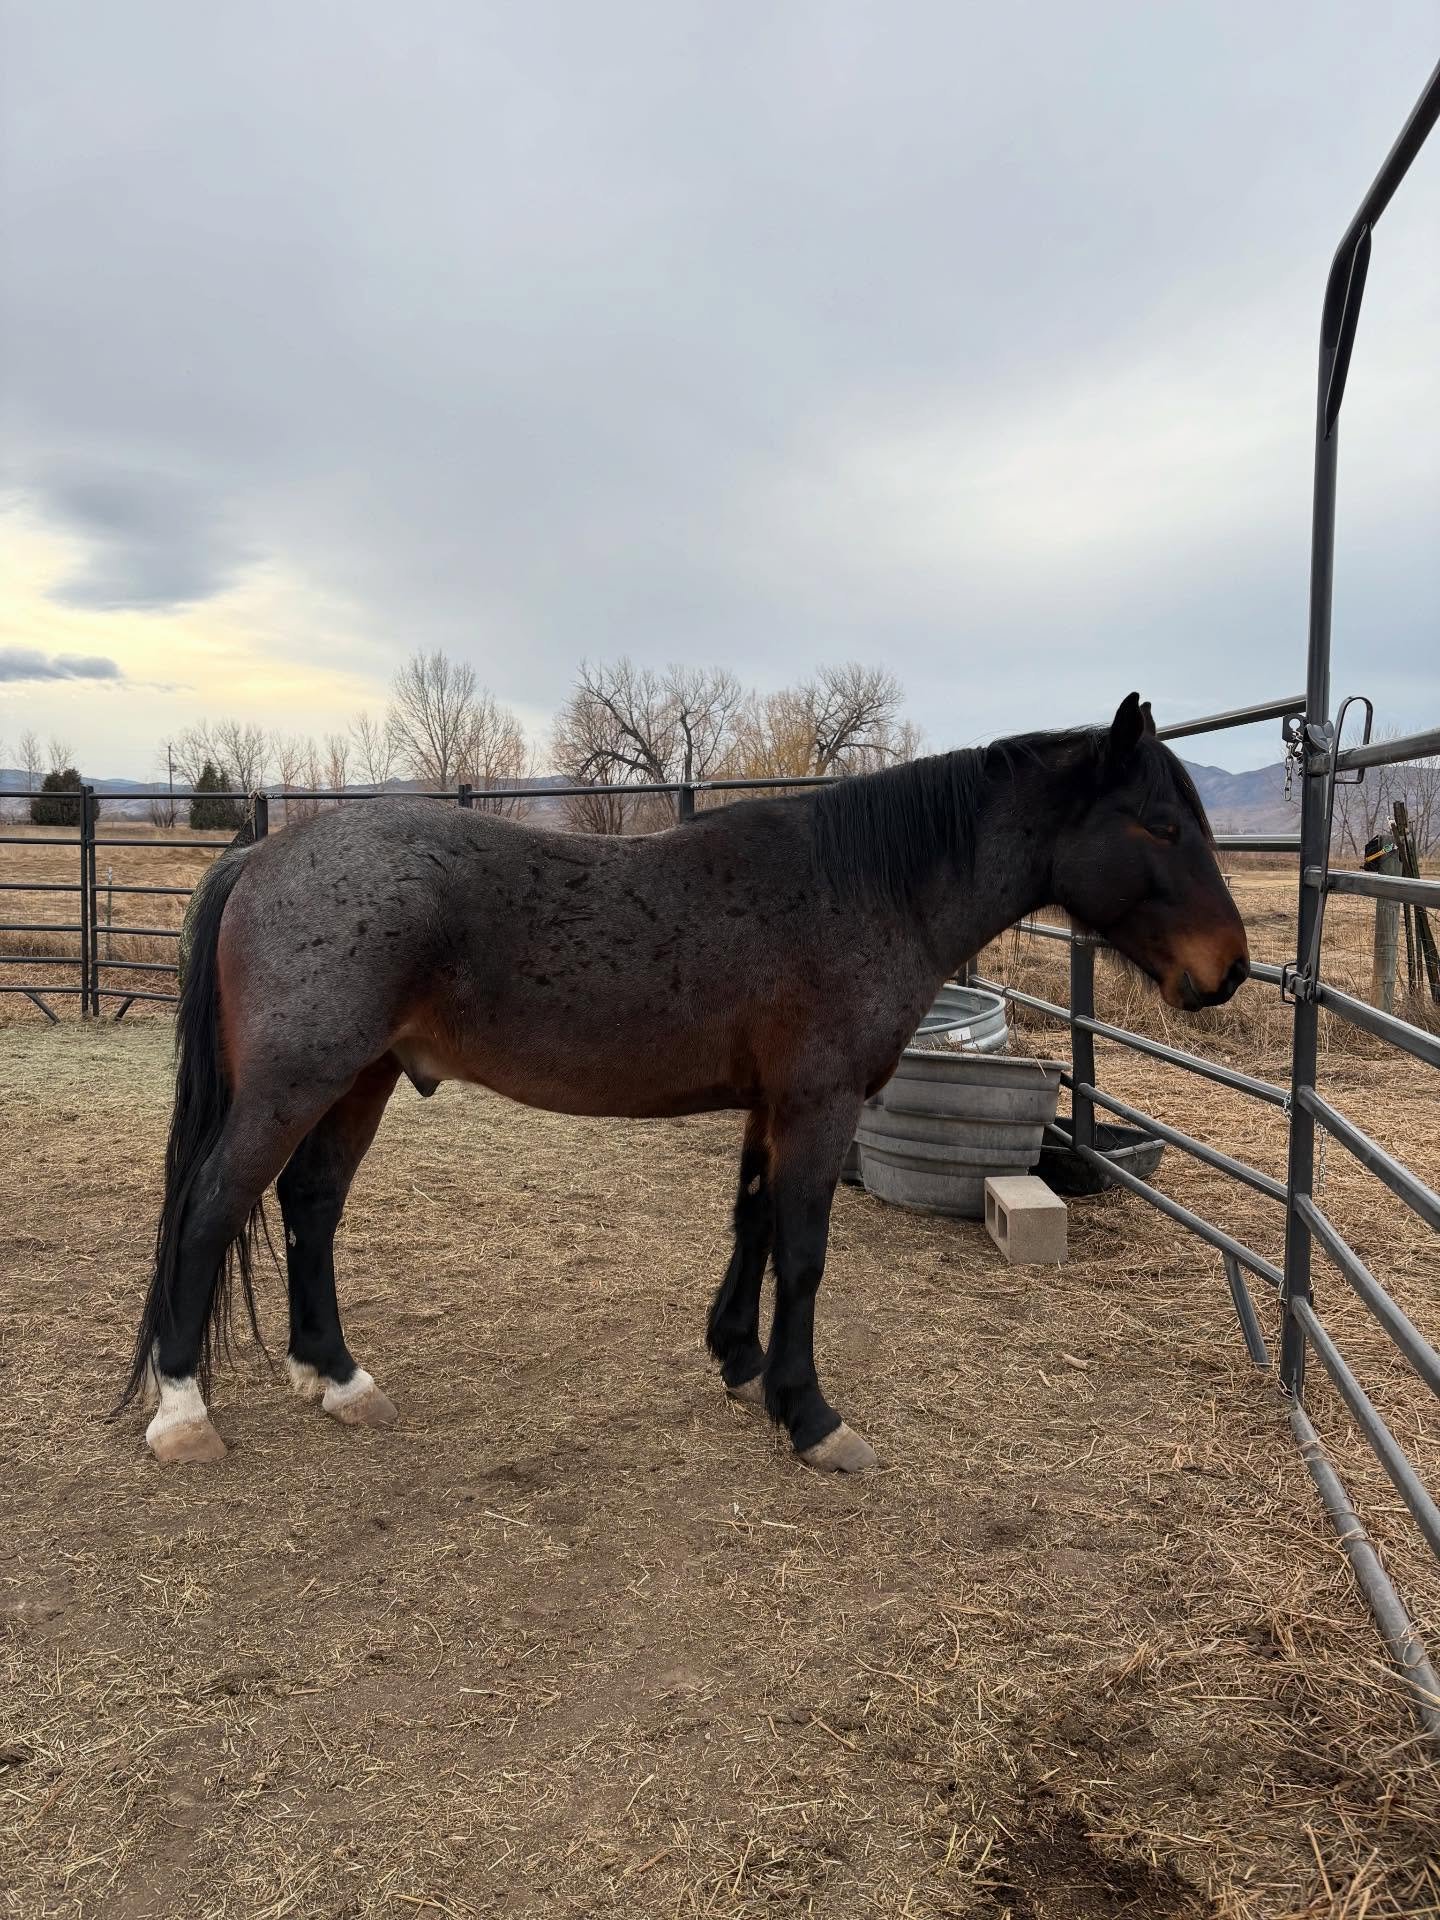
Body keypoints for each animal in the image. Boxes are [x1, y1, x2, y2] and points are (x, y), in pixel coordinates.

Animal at [121, 692, 1248, 1472]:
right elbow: (804, 1252)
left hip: (362, 1078)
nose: (1229, 970)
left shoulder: (773, 1105)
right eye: (1158, 825)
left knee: (310, 1204)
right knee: (211, 1209)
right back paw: (182, 1412)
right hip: (296, 1083)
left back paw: (337, 1376)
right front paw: (812, 1415)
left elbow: (752, 1223)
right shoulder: (821, 1103)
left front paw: (741, 1363)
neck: (858, 886)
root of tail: (264, 854)